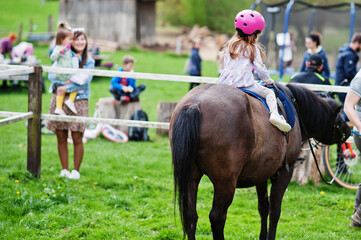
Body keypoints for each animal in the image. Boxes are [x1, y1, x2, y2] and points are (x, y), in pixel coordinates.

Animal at [170, 83, 350, 240]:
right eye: (339, 118)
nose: (348, 131)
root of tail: (195, 105)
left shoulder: (261, 174)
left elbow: (263, 207)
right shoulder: (284, 173)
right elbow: (275, 210)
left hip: (191, 177)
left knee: (191, 216)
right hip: (225, 183)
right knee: (217, 218)